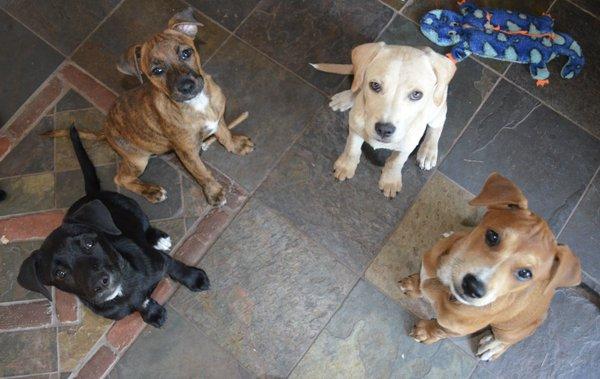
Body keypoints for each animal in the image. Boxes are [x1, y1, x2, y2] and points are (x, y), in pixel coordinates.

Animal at [17, 126, 210, 328]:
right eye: (60, 273)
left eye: (89, 243)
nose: (100, 283)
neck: (123, 287)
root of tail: (91, 195)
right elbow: (139, 303)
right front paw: (152, 313)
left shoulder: (158, 260)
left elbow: (174, 266)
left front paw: (194, 278)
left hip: (131, 205)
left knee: (144, 225)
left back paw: (157, 238)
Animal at [52, 8, 254, 205]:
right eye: (157, 71)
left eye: (186, 53)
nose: (186, 87)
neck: (196, 103)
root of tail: (106, 130)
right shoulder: (187, 152)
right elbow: (202, 172)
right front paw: (213, 193)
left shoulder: (218, 118)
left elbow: (224, 134)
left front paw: (236, 145)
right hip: (138, 160)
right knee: (121, 179)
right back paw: (151, 191)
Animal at [314, 43, 454, 199]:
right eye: (375, 85)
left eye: (416, 94)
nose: (384, 129)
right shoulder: (355, 127)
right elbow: (352, 149)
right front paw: (346, 166)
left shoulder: (408, 145)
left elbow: (396, 162)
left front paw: (390, 181)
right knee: (357, 83)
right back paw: (346, 97)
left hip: (437, 107)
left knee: (437, 125)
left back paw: (428, 152)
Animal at [398, 174, 580, 360]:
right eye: (492, 236)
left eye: (525, 273)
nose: (473, 287)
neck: (445, 288)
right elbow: (421, 280)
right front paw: (414, 285)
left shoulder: (455, 328)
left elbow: (440, 329)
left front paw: (426, 332)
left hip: (511, 328)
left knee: (510, 339)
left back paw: (493, 347)